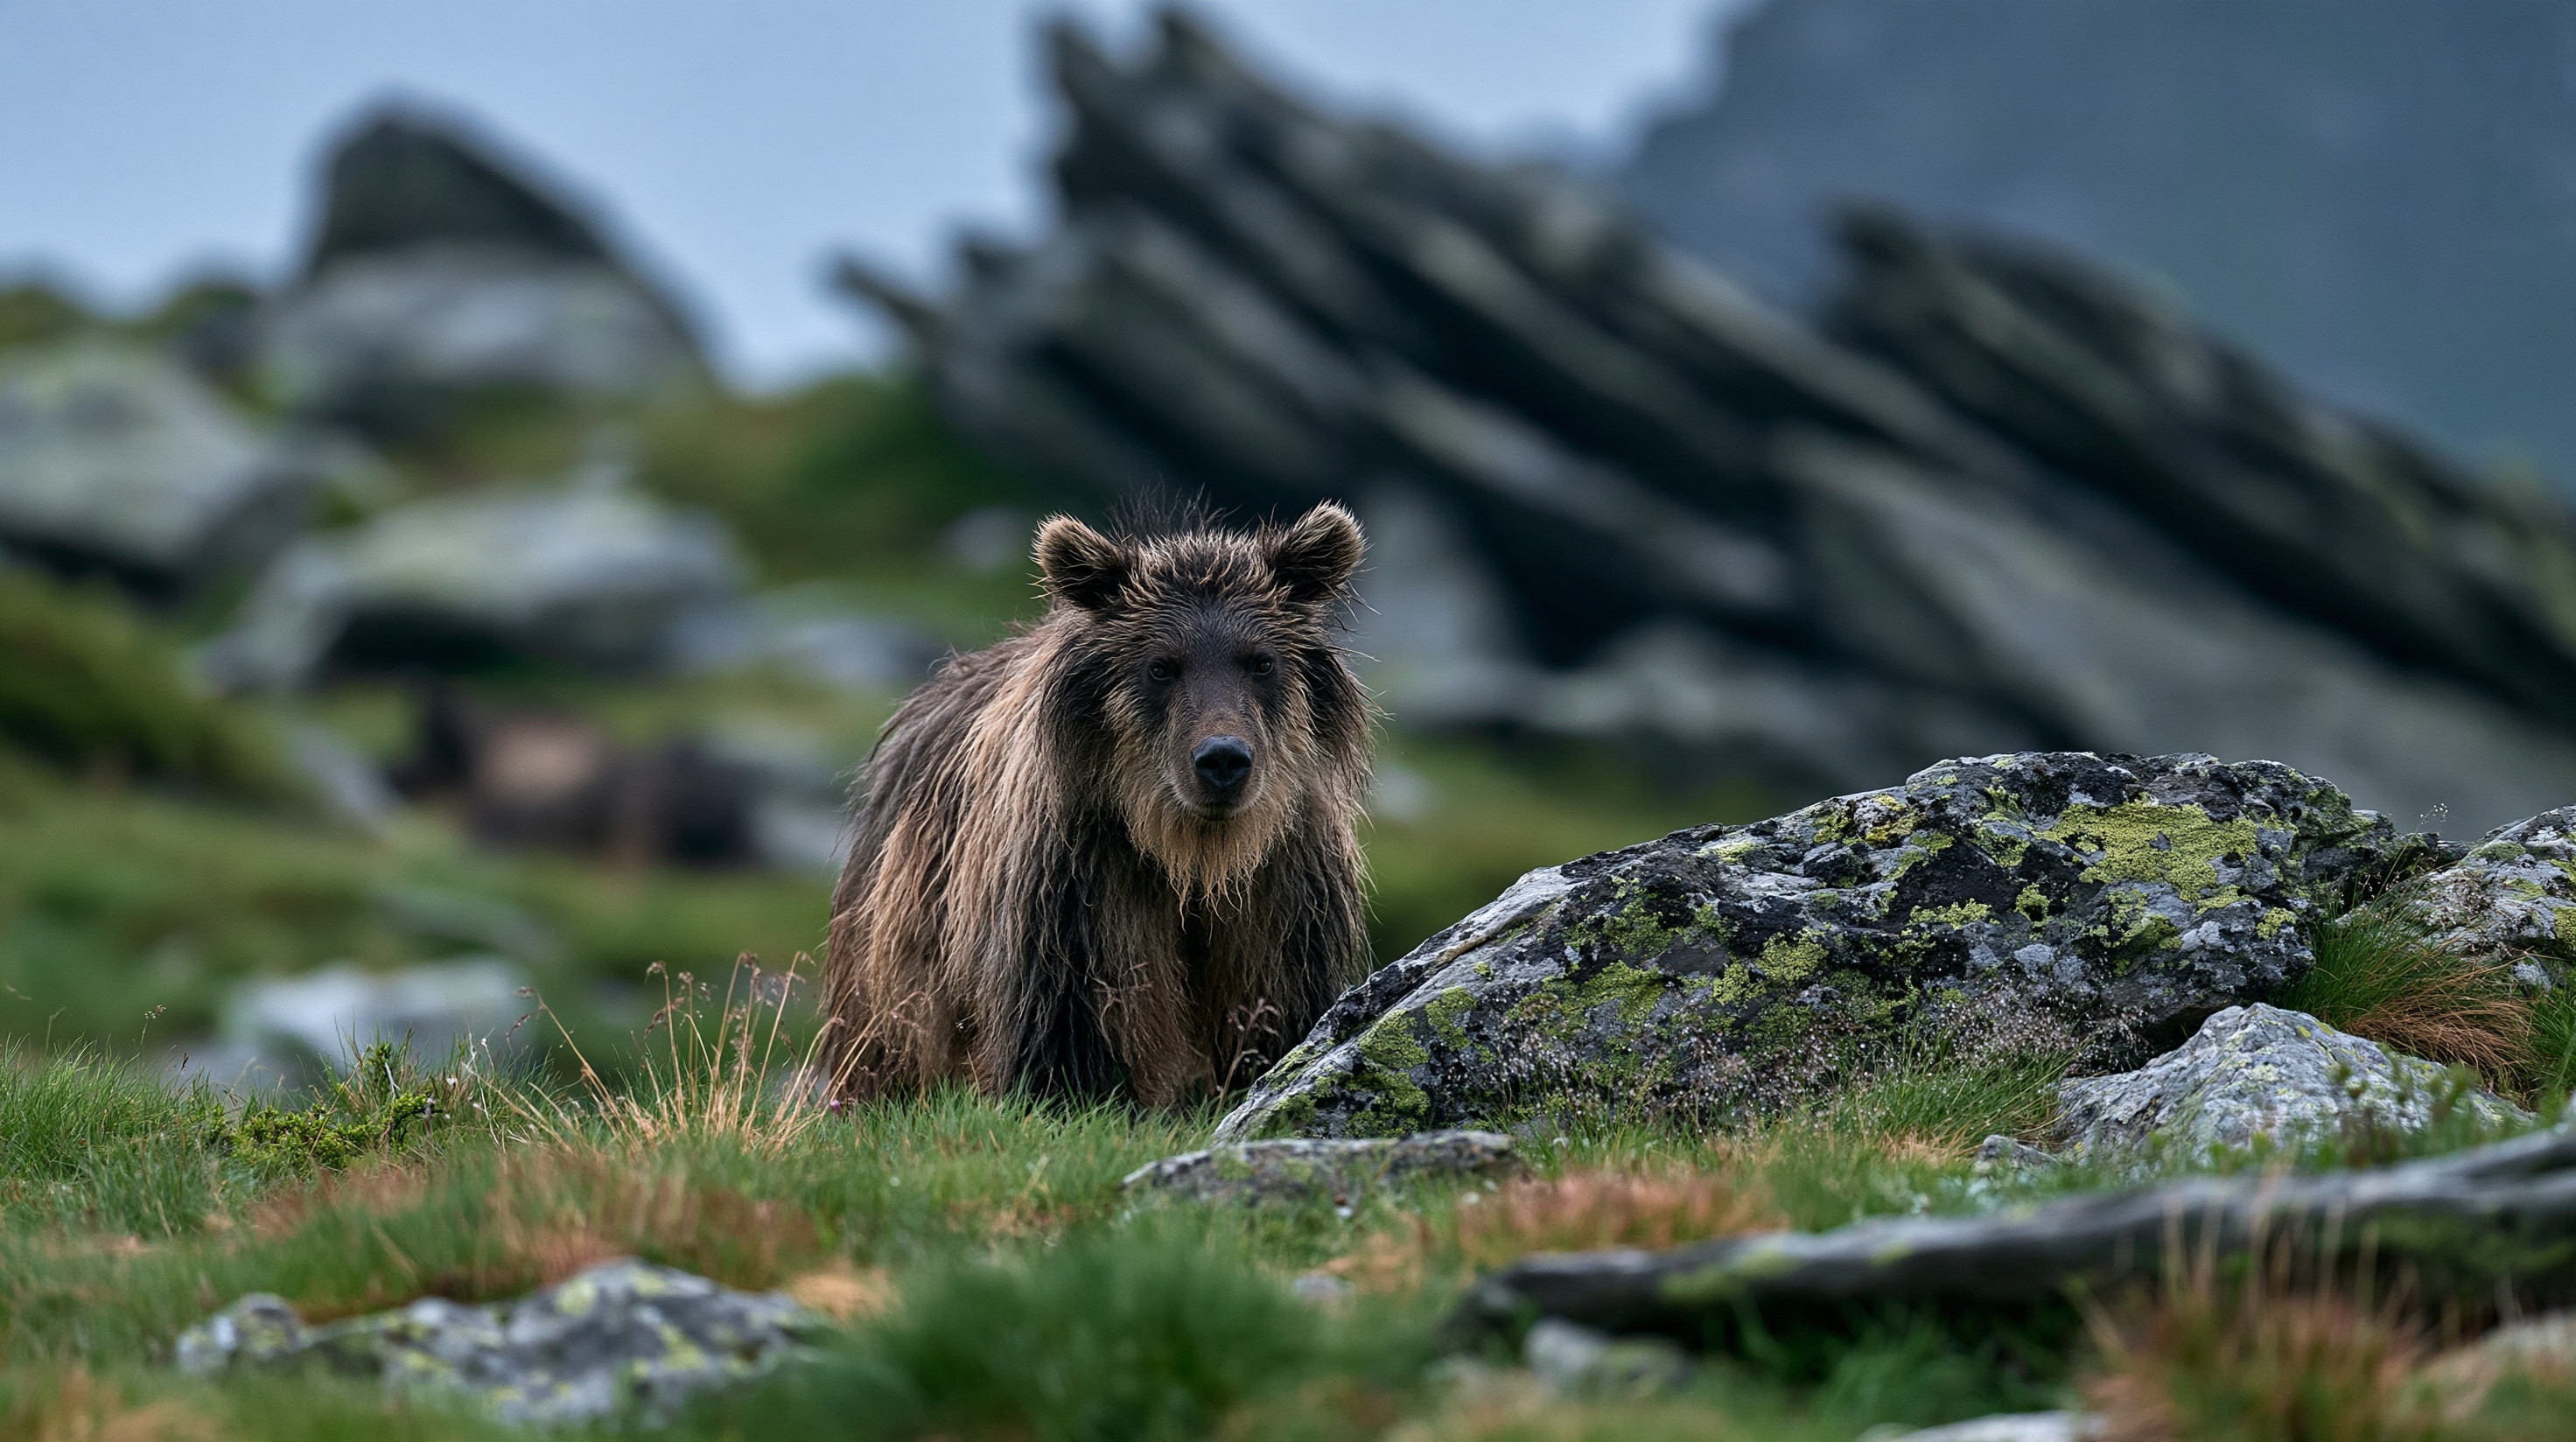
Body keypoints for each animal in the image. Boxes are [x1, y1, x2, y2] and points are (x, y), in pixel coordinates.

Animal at [820, 502, 1373, 1107]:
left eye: (1260, 661)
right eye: (1161, 665)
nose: (1223, 759)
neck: (1193, 856)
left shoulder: (1281, 888)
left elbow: (1276, 1006)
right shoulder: (1083, 880)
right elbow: (1074, 1014)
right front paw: (1072, 1091)